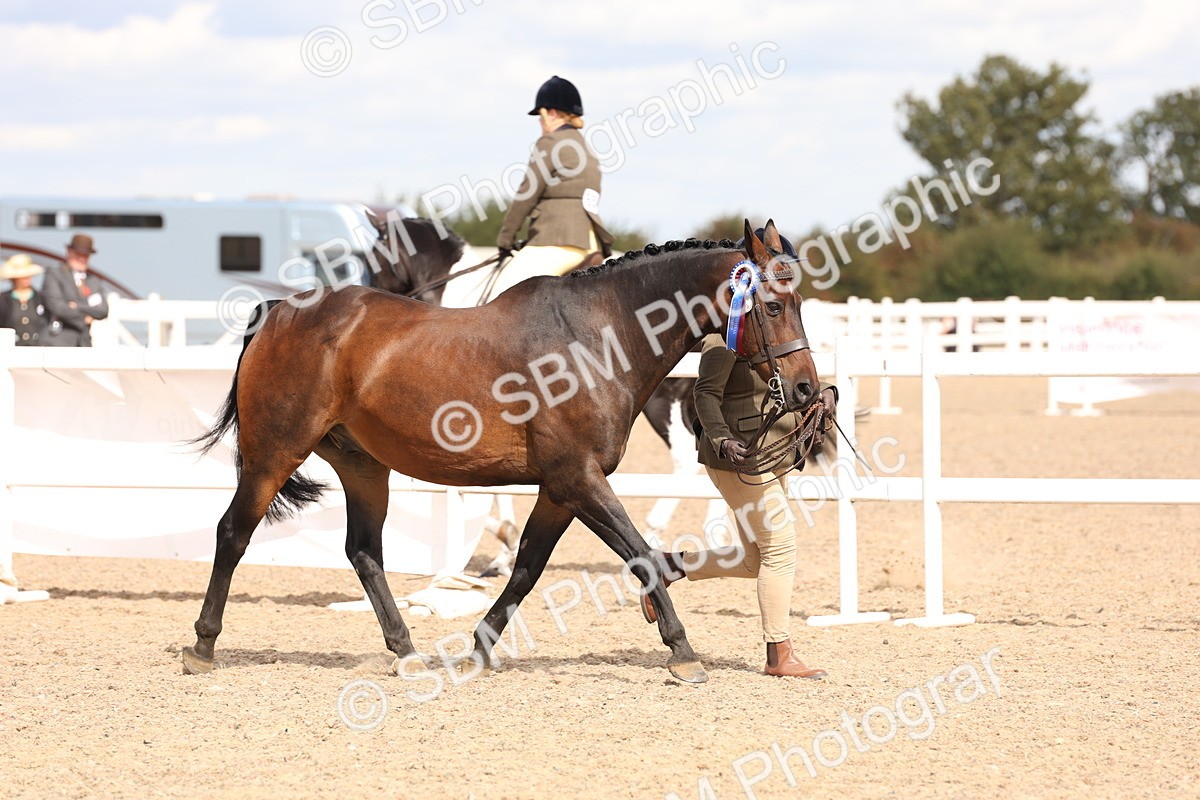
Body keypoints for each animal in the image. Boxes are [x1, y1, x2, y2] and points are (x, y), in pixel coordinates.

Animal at [182, 221, 823, 684]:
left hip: (363, 466)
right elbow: (639, 554)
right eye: (771, 305)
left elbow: (527, 569)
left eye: (798, 302)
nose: (804, 391)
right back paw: (202, 646)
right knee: (233, 534)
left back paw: (406, 651)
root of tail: (279, 312)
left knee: (363, 552)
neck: (599, 335)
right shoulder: (579, 479)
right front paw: (683, 651)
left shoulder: (561, 489)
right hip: (274, 453)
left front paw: (479, 648)